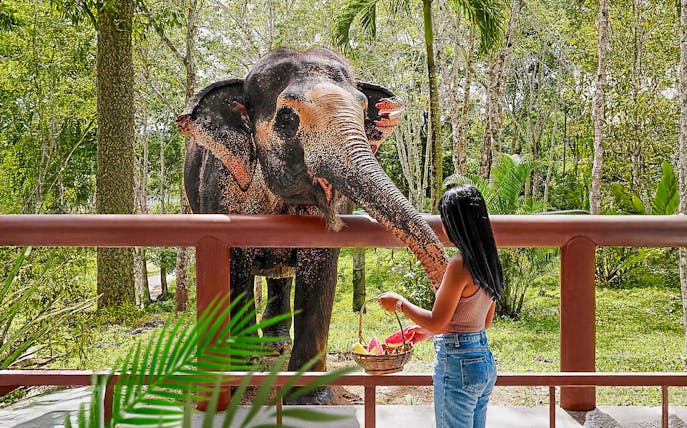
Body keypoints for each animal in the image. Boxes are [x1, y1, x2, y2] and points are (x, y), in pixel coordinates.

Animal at [177, 47, 448, 403]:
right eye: (287, 118)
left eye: (363, 109)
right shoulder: (223, 189)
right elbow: (234, 273)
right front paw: (239, 379)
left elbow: (320, 272)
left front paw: (309, 398)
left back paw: (274, 346)